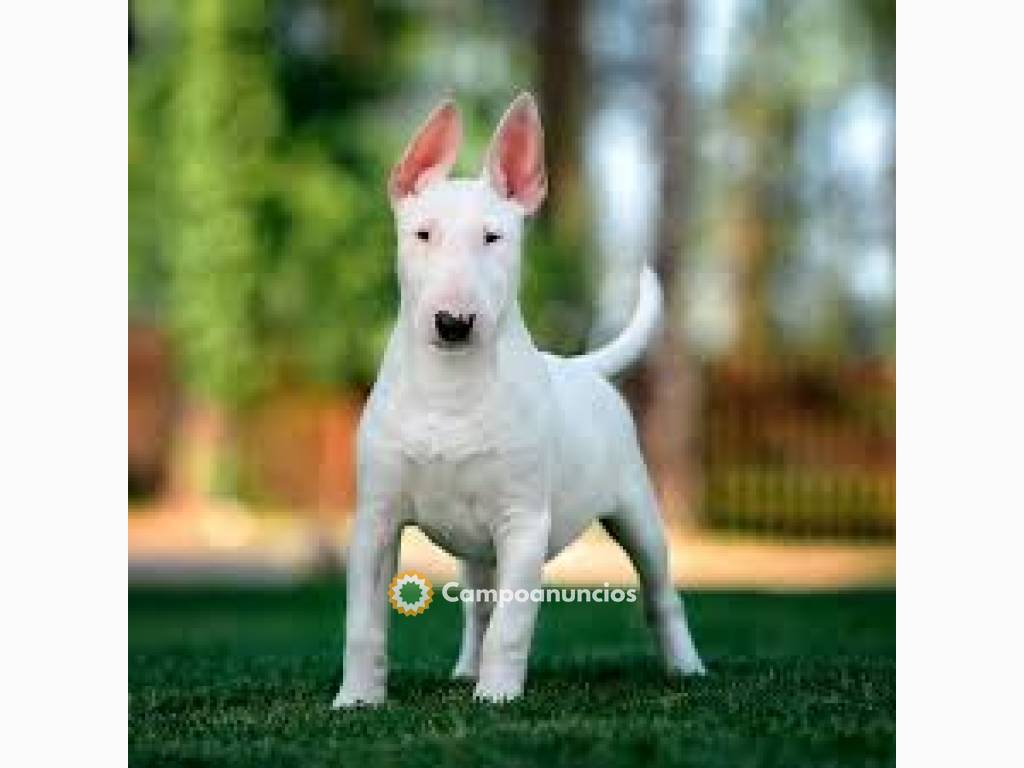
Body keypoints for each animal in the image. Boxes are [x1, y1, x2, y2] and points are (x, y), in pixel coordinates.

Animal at [335, 93, 704, 708]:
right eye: (423, 234)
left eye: (493, 238)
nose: (454, 323)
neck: (450, 388)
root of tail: (580, 366)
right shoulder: (376, 519)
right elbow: (365, 623)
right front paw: (357, 700)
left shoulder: (523, 523)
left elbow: (512, 625)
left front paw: (497, 699)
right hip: (476, 551)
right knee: (477, 608)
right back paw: (465, 670)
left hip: (636, 510)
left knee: (660, 593)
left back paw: (687, 668)